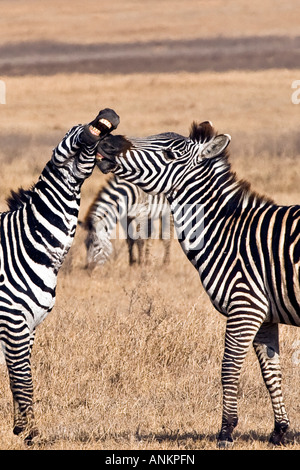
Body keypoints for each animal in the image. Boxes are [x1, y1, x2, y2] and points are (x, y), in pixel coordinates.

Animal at [0, 108, 119, 442]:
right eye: (70, 131)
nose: (106, 116)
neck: (28, 243)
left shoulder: (29, 326)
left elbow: (17, 379)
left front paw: (20, 428)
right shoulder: (13, 322)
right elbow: (24, 380)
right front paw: (32, 434)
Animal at [96, 122, 300, 448]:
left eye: (170, 153)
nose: (107, 142)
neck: (227, 233)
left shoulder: (245, 306)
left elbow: (228, 368)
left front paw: (226, 431)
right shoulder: (265, 314)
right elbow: (271, 371)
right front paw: (280, 430)